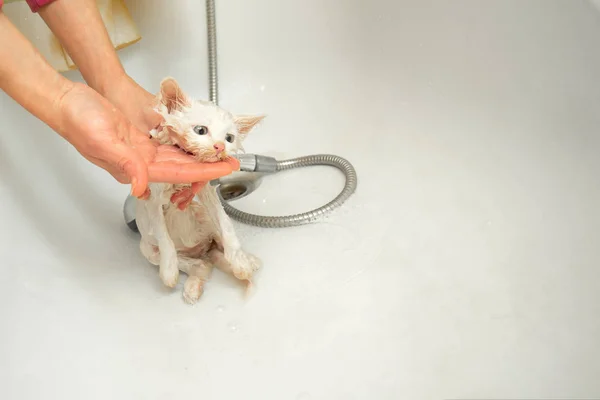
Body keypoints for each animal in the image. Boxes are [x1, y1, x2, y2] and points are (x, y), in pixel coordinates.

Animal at [138, 77, 264, 304]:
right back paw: (193, 281)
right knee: (200, 266)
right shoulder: (154, 198)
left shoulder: (207, 191)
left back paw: (247, 260)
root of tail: (202, 252)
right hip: (147, 248)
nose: (219, 146)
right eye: (201, 130)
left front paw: (240, 262)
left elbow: (226, 224)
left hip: (208, 227)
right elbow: (163, 236)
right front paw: (169, 272)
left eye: (229, 138)